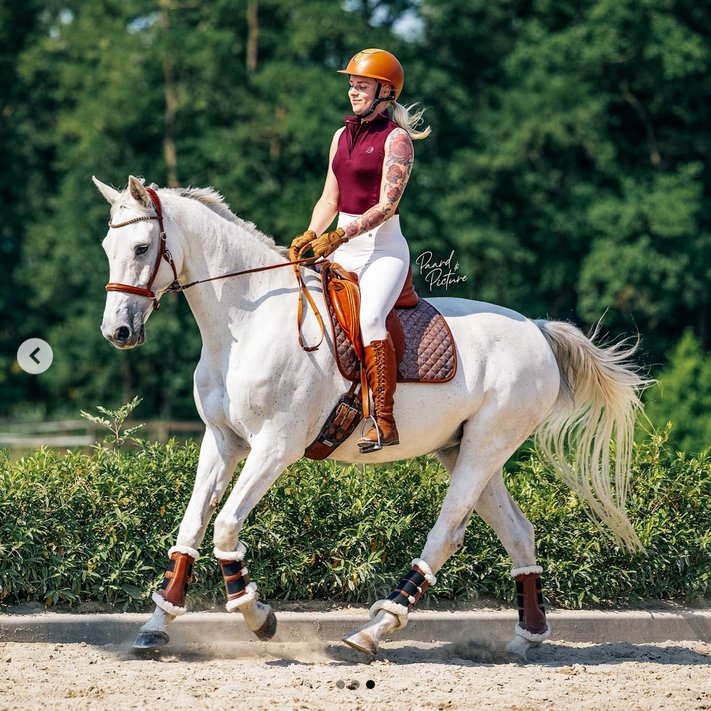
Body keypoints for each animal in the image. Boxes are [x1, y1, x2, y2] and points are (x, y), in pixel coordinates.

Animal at [93, 177, 644, 656]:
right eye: (106, 247)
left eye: (141, 248)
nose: (117, 331)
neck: (245, 322)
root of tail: (537, 328)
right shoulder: (222, 441)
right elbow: (191, 527)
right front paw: (156, 625)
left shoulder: (276, 446)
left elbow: (226, 527)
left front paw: (257, 615)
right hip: (466, 449)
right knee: (518, 533)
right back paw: (527, 639)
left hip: (486, 446)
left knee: (445, 534)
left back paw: (372, 631)